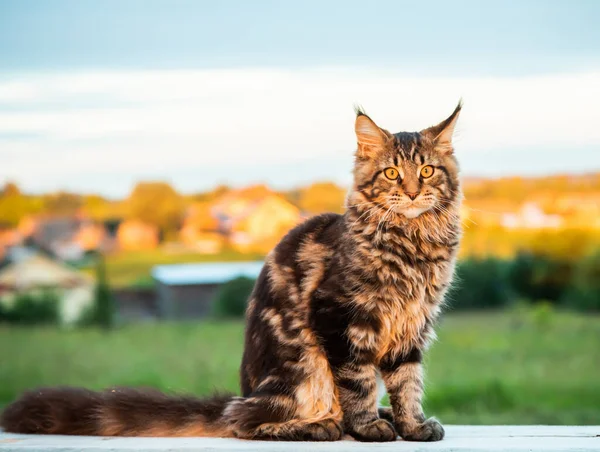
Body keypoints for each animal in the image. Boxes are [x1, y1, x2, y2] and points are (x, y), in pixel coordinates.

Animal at [0, 101, 462, 442]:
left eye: (426, 171)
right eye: (391, 173)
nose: (412, 192)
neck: (413, 243)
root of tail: (245, 391)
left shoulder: (413, 326)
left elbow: (407, 383)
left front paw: (411, 425)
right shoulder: (341, 319)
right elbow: (359, 381)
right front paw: (368, 427)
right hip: (303, 368)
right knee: (245, 421)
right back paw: (320, 426)